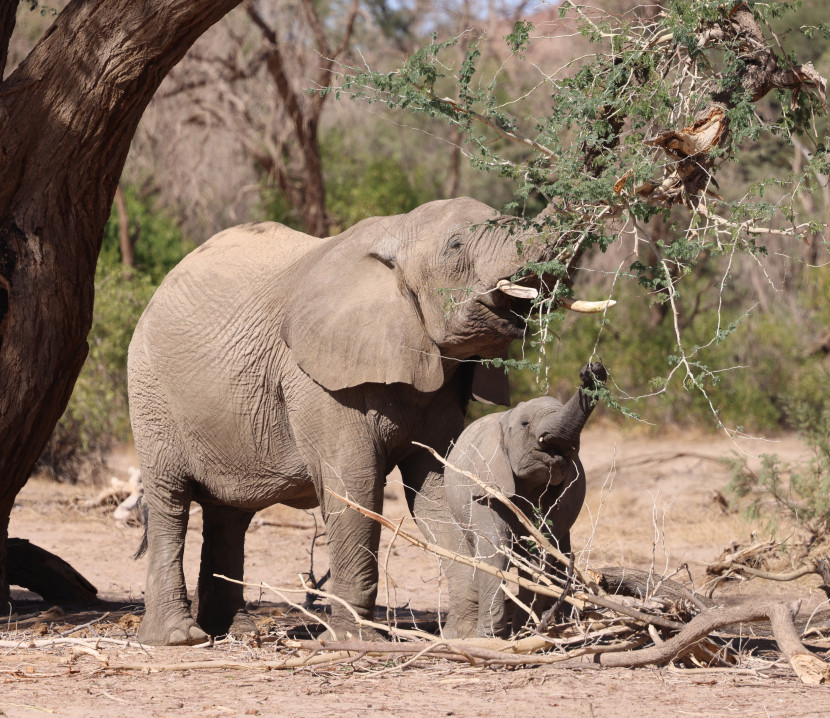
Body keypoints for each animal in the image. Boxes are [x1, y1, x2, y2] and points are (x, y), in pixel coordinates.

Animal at [446, 362, 608, 640]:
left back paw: (562, 622)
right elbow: (494, 549)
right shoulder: (487, 485)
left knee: (561, 555)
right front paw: (489, 637)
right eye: (525, 424)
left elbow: (539, 555)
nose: (593, 369)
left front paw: (524, 633)